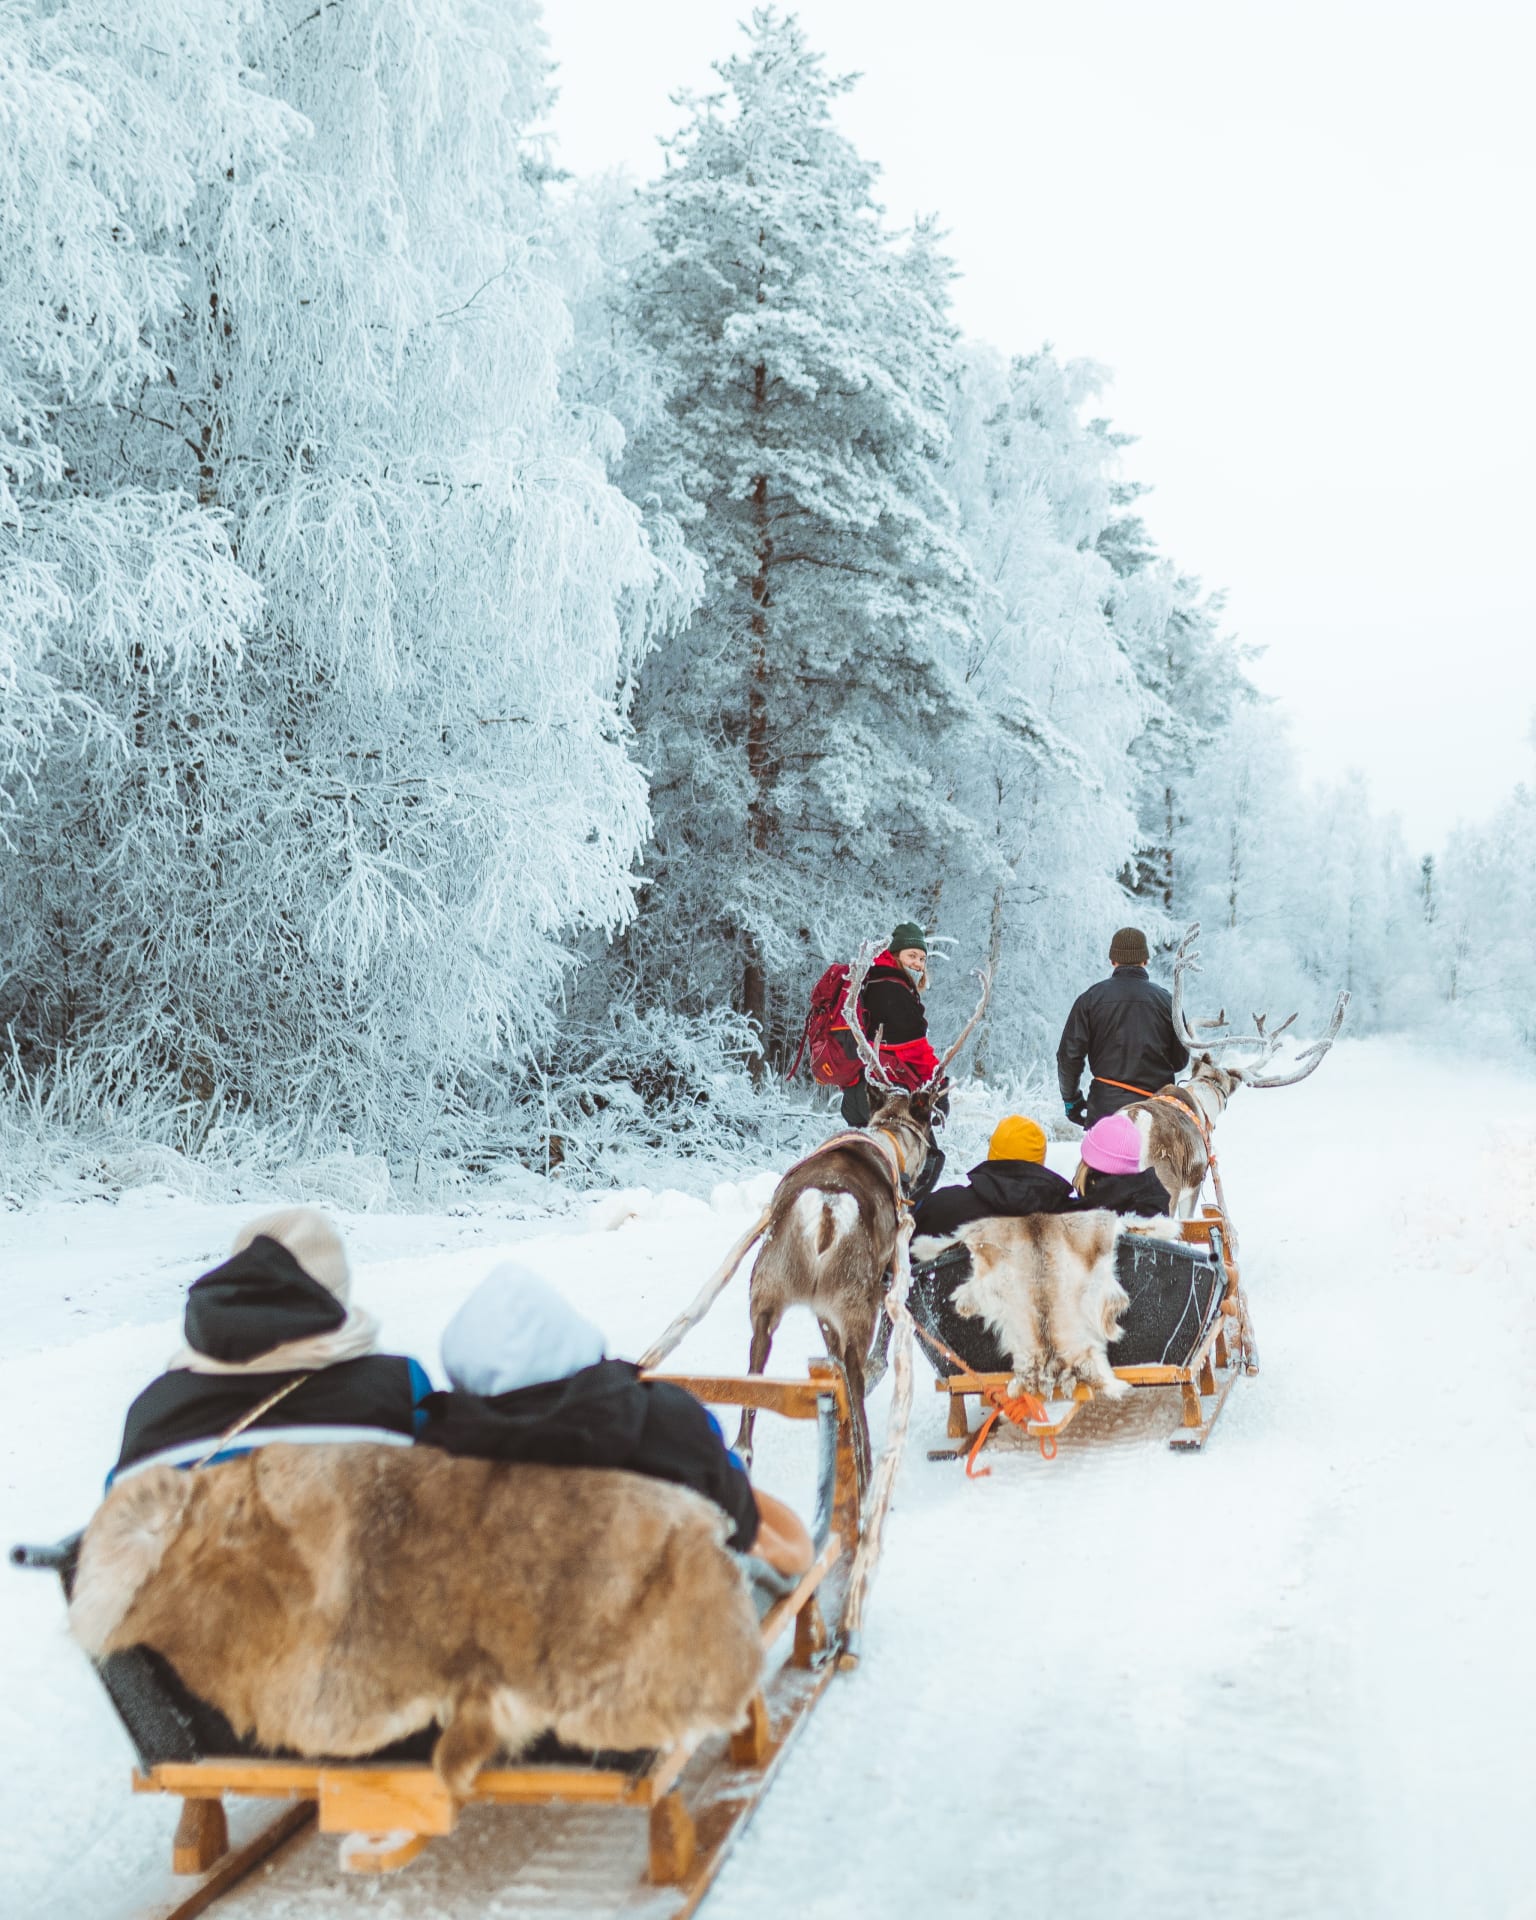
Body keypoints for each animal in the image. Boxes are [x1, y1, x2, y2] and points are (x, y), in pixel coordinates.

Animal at [734, 948, 991, 1490]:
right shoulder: (890, 1273)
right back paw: (870, 1476)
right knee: (857, 1383)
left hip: (766, 1292)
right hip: (857, 1300)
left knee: (752, 1397)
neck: (889, 1140)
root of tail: (825, 1213)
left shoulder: (820, 1310)